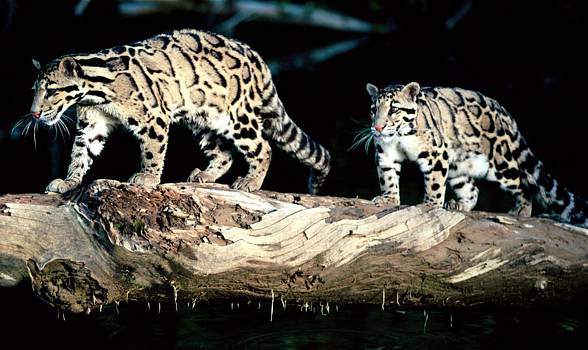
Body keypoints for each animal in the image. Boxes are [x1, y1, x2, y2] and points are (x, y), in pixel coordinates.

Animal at [28, 28, 330, 194]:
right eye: (34, 90)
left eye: (51, 91)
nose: (34, 114)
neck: (96, 92)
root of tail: (257, 59)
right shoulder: (92, 124)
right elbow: (81, 154)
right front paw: (70, 182)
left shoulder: (153, 117)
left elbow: (152, 151)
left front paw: (148, 178)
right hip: (204, 119)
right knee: (225, 154)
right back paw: (206, 175)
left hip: (237, 115)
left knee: (263, 147)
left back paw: (251, 181)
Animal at [366, 81, 584, 227]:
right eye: (373, 109)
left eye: (393, 109)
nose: (377, 127)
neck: (399, 137)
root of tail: (505, 113)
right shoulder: (385, 154)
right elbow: (387, 177)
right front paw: (388, 199)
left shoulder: (437, 154)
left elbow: (435, 184)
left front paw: (430, 205)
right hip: (458, 165)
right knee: (472, 189)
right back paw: (459, 204)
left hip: (500, 164)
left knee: (523, 183)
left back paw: (521, 209)